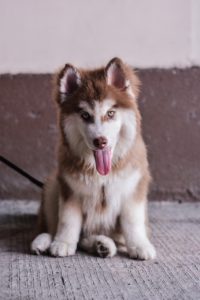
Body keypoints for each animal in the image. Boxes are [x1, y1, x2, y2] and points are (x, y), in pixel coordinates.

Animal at [31, 57, 156, 258]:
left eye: (110, 113)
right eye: (85, 115)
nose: (100, 141)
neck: (102, 173)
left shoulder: (133, 189)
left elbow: (133, 222)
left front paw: (140, 246)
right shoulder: (70, 189)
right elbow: (67, 220)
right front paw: (63, 242)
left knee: (92, 239)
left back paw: (102, 244)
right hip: (52, 185)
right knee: (51, 227)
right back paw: (43, 241)